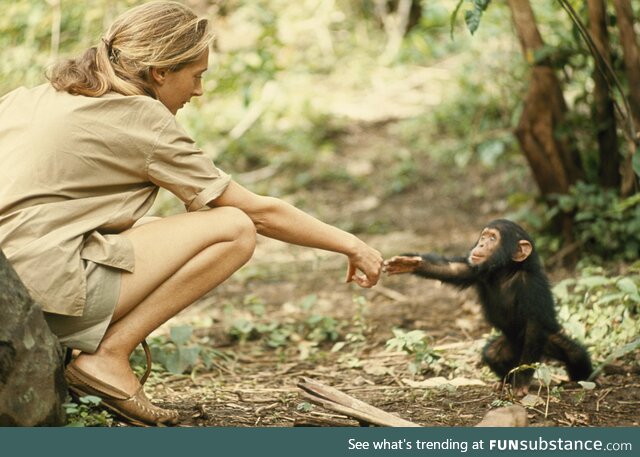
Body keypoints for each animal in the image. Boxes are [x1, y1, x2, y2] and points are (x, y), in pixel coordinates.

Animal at [382, 218, 592, 392]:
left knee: (575, 354)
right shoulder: (474, 270)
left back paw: (581, 379)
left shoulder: (533, 288)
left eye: (493, 238)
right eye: (484, 236)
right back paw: (504, 381)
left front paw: (522, 382)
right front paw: (409, 263)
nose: (481, 244)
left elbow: (534, 326)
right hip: (509, 346)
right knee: (492, 354)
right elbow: (451, 269)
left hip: (545, 342)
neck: (505, 272)